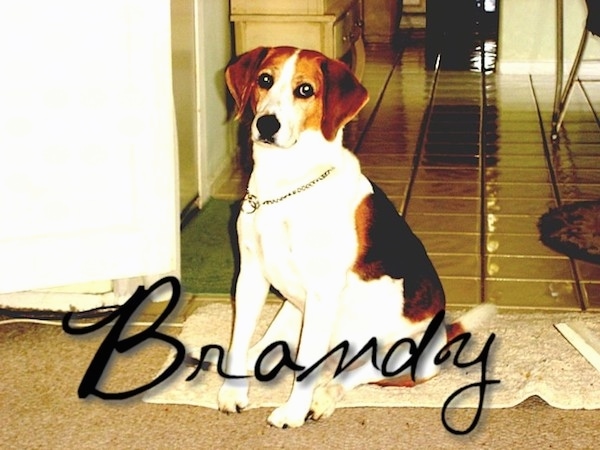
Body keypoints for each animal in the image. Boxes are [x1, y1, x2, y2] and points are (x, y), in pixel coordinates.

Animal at [218, 46, 494, 428]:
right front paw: (233, 392)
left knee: (352, 375)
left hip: (398, 355)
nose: (267, 124)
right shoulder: (251, 276)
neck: (286, 185)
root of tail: (443, 333)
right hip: (292, 308)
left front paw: (293, 412)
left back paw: (322, 398)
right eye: (265, 80)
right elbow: (241, 336)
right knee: (265, 348)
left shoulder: (321, 293)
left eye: (305, 90)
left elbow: (307, 369)